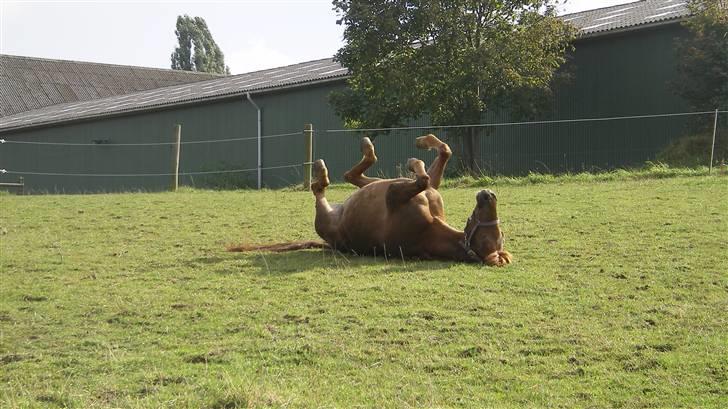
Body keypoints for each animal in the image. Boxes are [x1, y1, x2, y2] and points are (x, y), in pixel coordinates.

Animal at [229, 135, 512, 266]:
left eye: (494, 236)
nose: (489, 194)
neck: (431, 228)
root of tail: (330, 243)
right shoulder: (425, 190)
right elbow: (442, 156)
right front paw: (424, 143)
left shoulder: (394, 193)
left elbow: (422, 178)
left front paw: (414, 161)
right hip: (369, 185)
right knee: (352, 175)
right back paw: (366, 148)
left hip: (326, 217)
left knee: (320, 187)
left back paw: (322, 171)